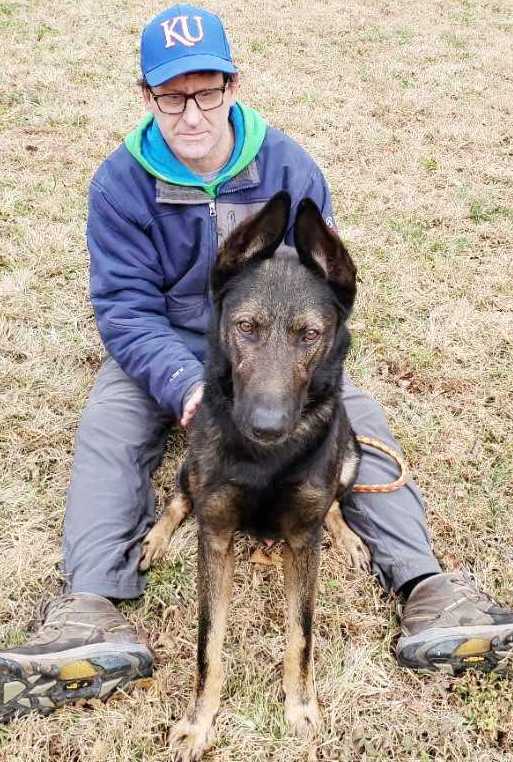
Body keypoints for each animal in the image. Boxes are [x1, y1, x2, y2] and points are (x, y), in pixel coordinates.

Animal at [140, 191, 370, 760]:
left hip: (352, 452)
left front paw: (301, 708)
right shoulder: (216, 535)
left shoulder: (304, 539)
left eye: (309, 335)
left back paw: (350, 538)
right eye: (246, 327)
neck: (265, 462)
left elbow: (301, 633)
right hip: (191, 466)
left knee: (337, 499)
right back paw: (155, 539)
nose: (267, 426)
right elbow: (209, 641)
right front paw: (199, 722)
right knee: (180, 498)